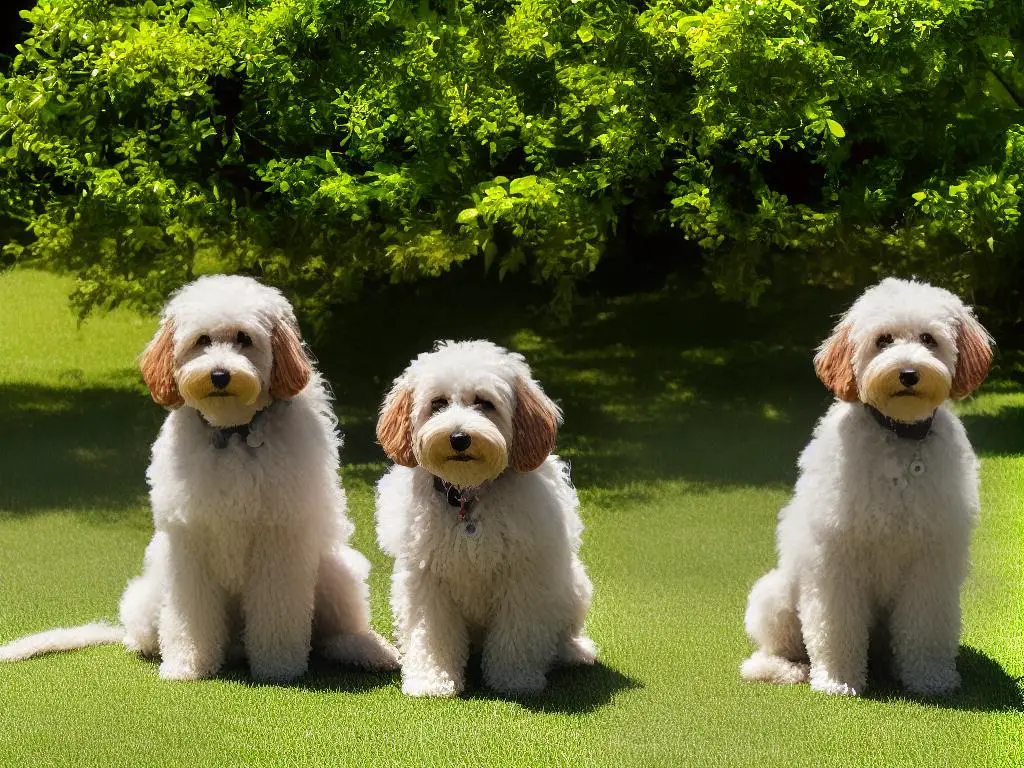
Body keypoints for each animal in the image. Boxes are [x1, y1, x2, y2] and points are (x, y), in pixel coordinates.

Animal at [0, 274, 397, 684]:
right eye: (202, 340)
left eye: (244, 338)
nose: (219, 375)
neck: (233, 433)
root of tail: (236, 646)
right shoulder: (190, 539)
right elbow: (191, 614)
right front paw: (187, 664)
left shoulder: (279, 537)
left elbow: (277, 610)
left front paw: (278, 667)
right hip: (151, 589)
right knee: (145, 634)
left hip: (336, 571)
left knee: (333, 634)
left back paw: (368, 650)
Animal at [376, 342, 598, 696]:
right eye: (438, 403)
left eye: (485, 403)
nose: (459, 437)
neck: (468, 495)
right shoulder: (427, 579)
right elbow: (431, 633)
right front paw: (432, 679)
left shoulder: (523, 575)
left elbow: (519, 633)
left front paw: (515, 678)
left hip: (572, 585)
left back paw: (573, 652)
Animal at [741, 278, 995, 696]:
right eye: (883, 339)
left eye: (928, 339)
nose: (908, 372)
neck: (899, 435)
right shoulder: (837, 554)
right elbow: (835, 623)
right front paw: (837, 680)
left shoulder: (932, 558)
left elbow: (926, 625)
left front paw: (930, 678)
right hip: (774, 595)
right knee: (781, 646)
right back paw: (783, 668)